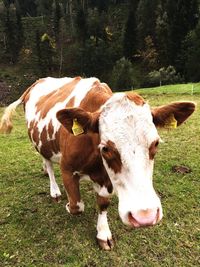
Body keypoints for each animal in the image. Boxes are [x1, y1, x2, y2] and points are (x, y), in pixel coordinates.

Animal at [0, 77, 195, 251]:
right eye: (106, 148)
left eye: (155, 143)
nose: (144, 216)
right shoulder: (67, 168)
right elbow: (76, 206)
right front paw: (68, 205)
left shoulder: (106, 177)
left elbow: (102, 204)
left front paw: (103, 233)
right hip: (41, 143)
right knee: (48, 164)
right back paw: (54, 190)